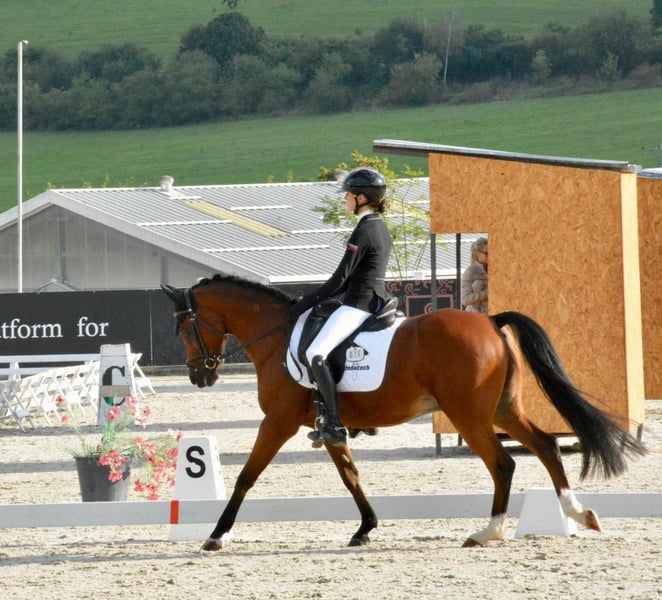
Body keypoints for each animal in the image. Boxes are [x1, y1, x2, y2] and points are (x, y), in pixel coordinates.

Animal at [162, 274, 646, 551]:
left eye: (183, 326)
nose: (199, 376)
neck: (277, 336)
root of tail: (490, 321)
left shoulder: (278, 421)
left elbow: (247, 475)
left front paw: (216, 534)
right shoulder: (326, 426)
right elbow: (350, 475)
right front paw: (365, 528)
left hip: (470, 416)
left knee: (503, 463)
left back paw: (487, 532)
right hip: (504, 411)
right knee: (546, 445)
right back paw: (578, 513)